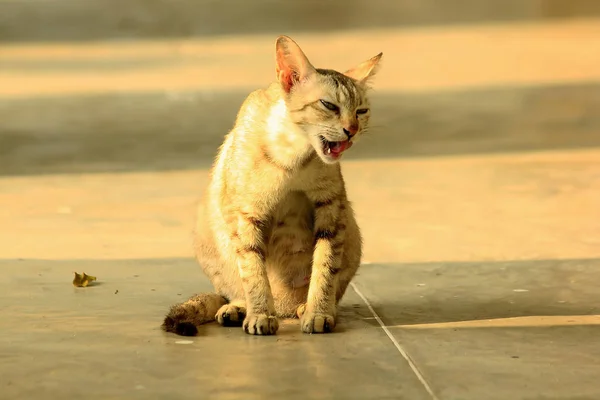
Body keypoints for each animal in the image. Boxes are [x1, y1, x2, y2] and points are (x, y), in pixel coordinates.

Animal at [162, 34, 382, 336]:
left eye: (361, 111)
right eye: (329, 106)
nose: (352, 130)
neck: (293, 158)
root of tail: (284, 306)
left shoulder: (331, 208)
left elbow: (325, 267)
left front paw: (318, 312)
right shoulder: (245, 214)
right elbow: (253, 271)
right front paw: (260, 314)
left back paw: (301, 307)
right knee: (234, 288)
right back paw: (239, 308)